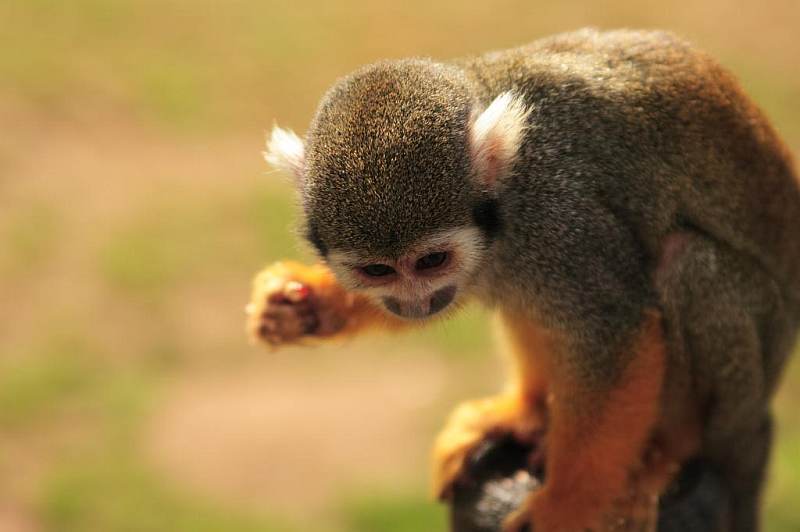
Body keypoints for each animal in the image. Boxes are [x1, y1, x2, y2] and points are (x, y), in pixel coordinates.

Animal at [247, 29, 796, 532]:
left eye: (431, 261)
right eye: (377, 271)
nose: (416, 305)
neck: (506, 192)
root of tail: (758, 418)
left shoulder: (558, 216)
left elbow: (614, 333)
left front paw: (568, 506)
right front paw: (305, 307)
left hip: (745, 389)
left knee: (687, 262)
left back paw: (671, 447)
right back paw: (527, 410)